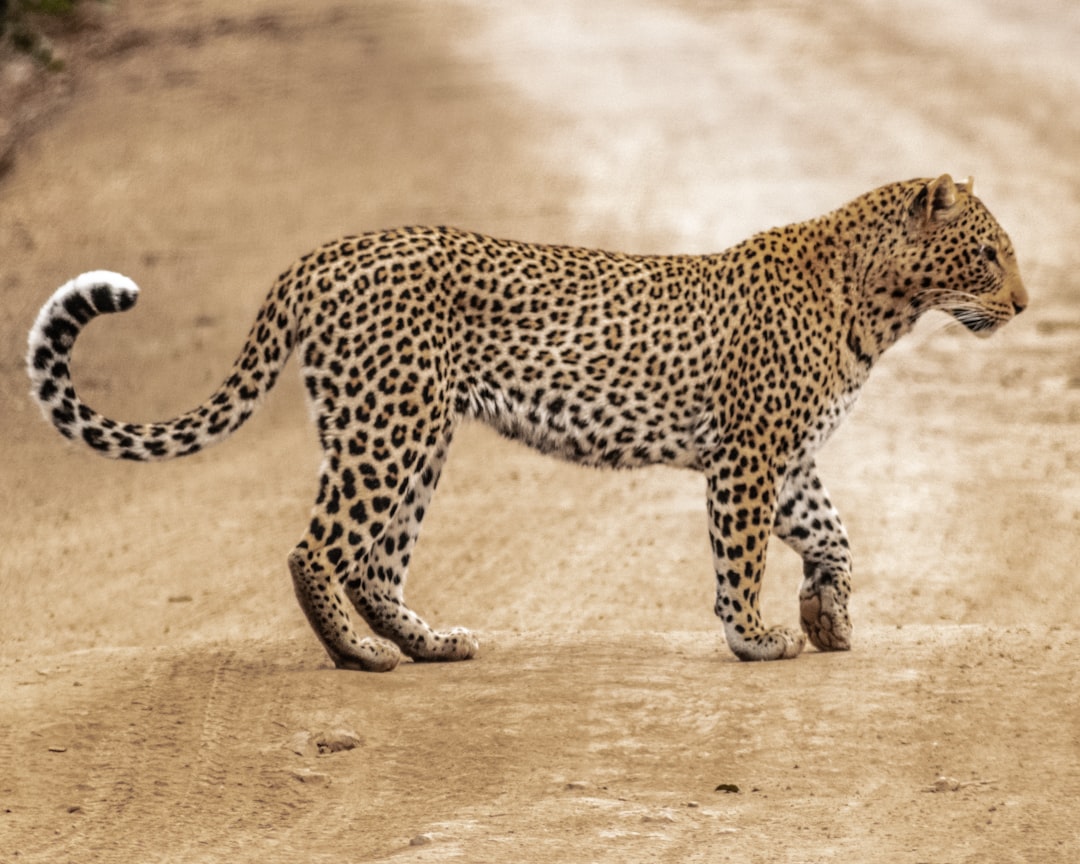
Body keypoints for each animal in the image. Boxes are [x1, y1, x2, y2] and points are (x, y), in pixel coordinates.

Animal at [25, 174, 1023, 669]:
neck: (883, 305)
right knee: (317, 549)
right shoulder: (748, 455)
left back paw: (429, 645)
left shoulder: (789, 458)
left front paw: (828, 618)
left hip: (415, 433)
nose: (1022, 302)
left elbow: (836, 534)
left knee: (376, 561)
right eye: (987, 254)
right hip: (387, 428)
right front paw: (755, 637)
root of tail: (322, 254)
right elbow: (741, 556)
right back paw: (360, 657)